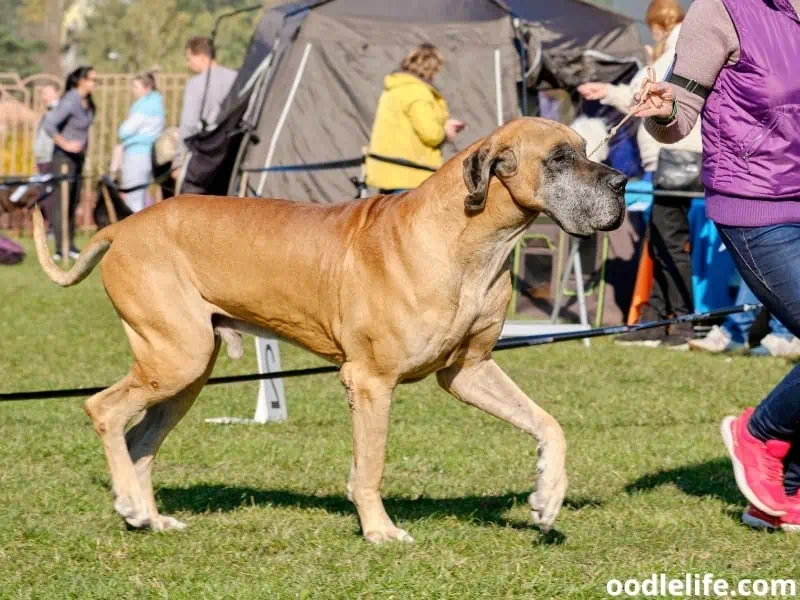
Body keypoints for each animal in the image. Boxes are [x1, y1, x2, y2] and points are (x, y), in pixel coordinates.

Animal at [34, 117, 628, 544]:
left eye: (586, 147)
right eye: (559, 158)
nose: (622, 182)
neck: (470, 242)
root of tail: (121, 225)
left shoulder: (469, 370)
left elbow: (548, 424)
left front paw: (548, 496)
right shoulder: (370, 381)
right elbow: (371, 465)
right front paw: (380, 531)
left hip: (186, 371)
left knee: (140, 440)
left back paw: (147, 517)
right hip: (176, 356)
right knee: (104, 410)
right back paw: (130, 504)